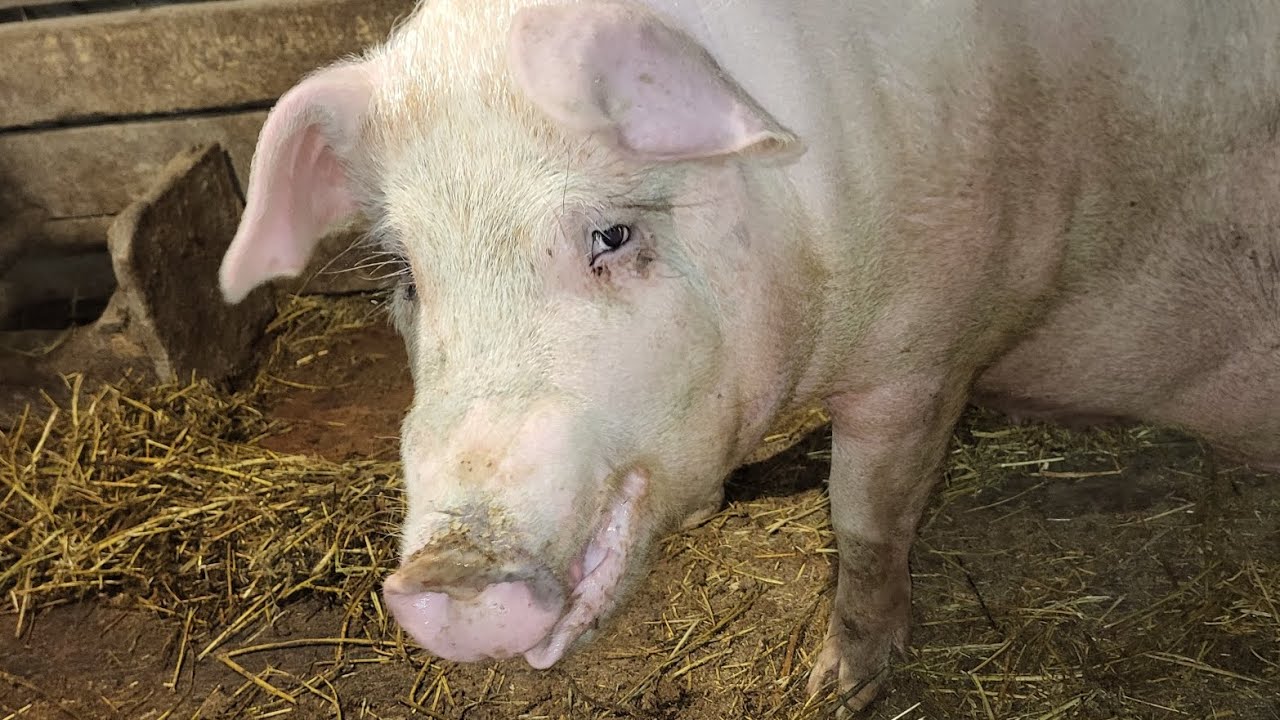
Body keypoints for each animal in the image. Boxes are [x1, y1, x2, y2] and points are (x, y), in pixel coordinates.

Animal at [217, 0, 1280, 713]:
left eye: (611, 235)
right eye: (406, 270)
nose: (448, 582)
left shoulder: (921, 359)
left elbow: (865, 522)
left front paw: (833, 686)